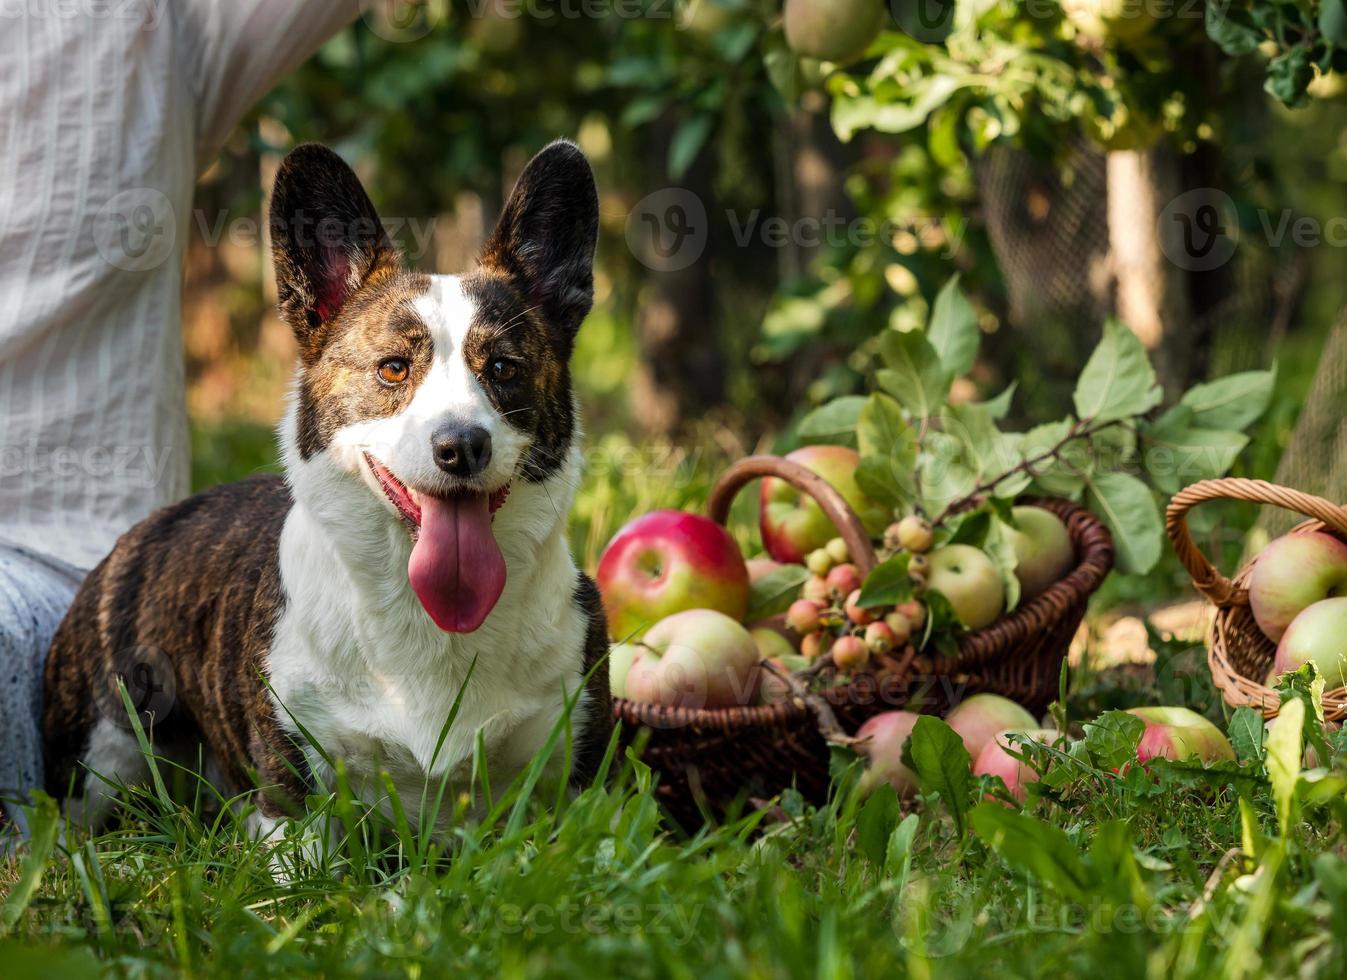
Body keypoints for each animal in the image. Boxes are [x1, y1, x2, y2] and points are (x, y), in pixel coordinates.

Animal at [40, 141, 611, 840]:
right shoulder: (292, 804)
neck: (428, 616)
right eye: (393, 369)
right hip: (98, 757)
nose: (461, 447)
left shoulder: (580, 782)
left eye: (503, 368)